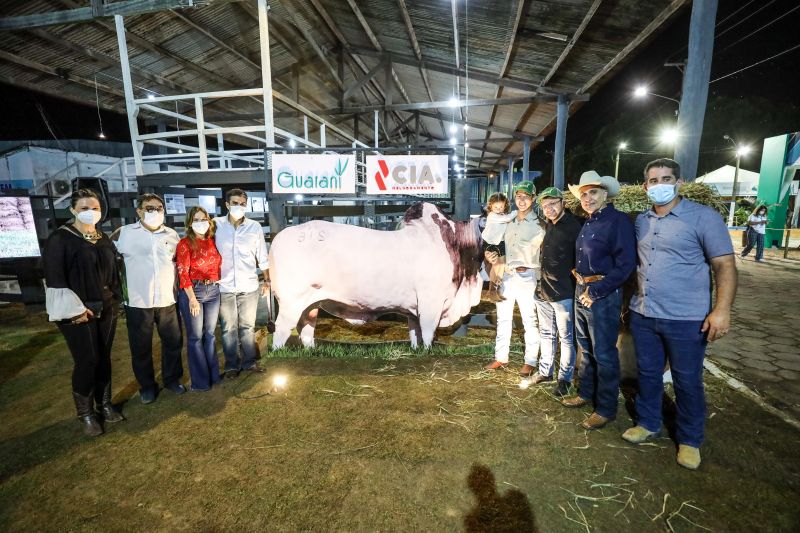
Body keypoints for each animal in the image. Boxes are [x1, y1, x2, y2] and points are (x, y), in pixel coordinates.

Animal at [268, 202, 482, 348]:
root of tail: (279, 237)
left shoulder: (414, 309)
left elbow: (415, 334)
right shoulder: (431, 304)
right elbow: (428, 334)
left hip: (310, 303)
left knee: (306, 328)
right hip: (290, 302)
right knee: (281, 330)